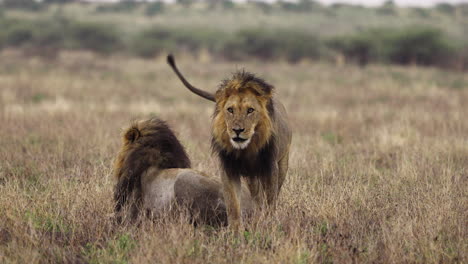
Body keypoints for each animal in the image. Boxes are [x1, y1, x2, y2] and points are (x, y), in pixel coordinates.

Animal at [168, 55, 292, 231]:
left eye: (250, 110)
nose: (237, 130)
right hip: (251, 177)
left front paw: (269, 224)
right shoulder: (228, 169)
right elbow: (233, 204)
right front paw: (235, 231)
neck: (247, 150)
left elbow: (270, 201)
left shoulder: (270, 168)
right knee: (256, 195)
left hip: (282, 162)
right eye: (230, 110)